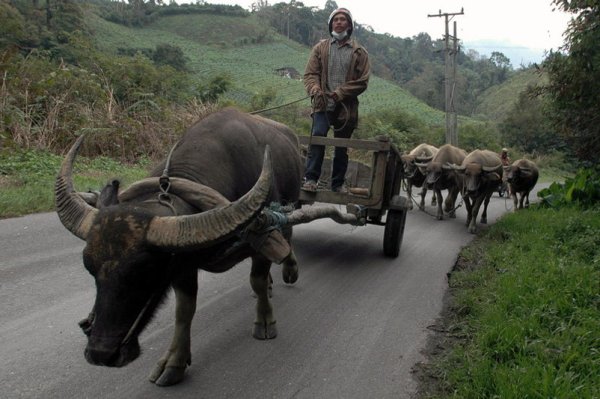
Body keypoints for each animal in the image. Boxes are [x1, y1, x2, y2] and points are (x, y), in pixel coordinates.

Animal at [55, 107, 304, 388]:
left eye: (145, 271)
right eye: (90, 267)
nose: (100, 352)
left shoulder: (262, 235)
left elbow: (257, 280)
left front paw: (264, 322)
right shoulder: (182, 265)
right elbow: (184, 311)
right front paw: (174, 362)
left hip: (289, 207)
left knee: (288, 237)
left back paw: (290, 269)